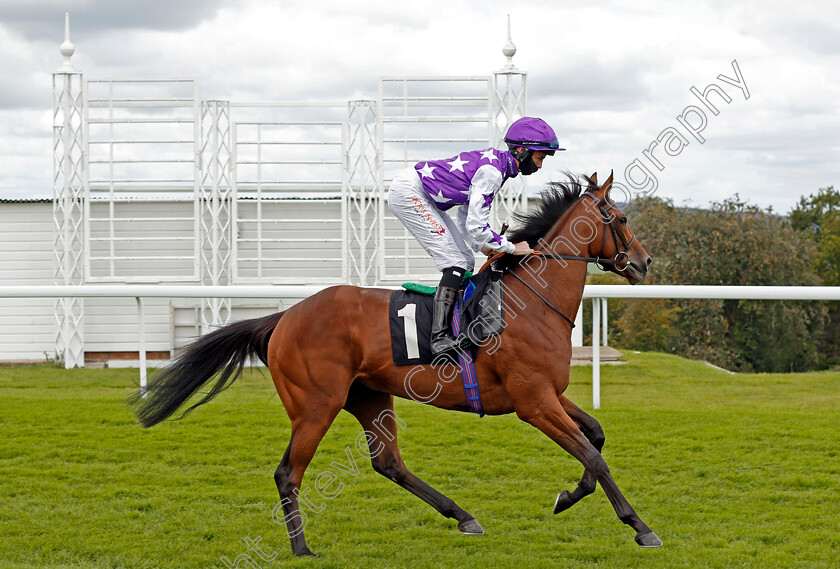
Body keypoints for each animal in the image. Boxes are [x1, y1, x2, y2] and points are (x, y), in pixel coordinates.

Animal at [131, 171, 660, 552]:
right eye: (619, 217)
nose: (644, 263)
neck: (529, 302)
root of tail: (285, 316)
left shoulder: (550, 395)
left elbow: (595, 436)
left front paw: (567, 497)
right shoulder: (533, 403)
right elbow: (592, 452)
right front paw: (639, 526)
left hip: (369, 396)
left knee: (388, 463)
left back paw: (464, 517)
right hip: (317, 405)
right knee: (288, 472)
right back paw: (301, 547)